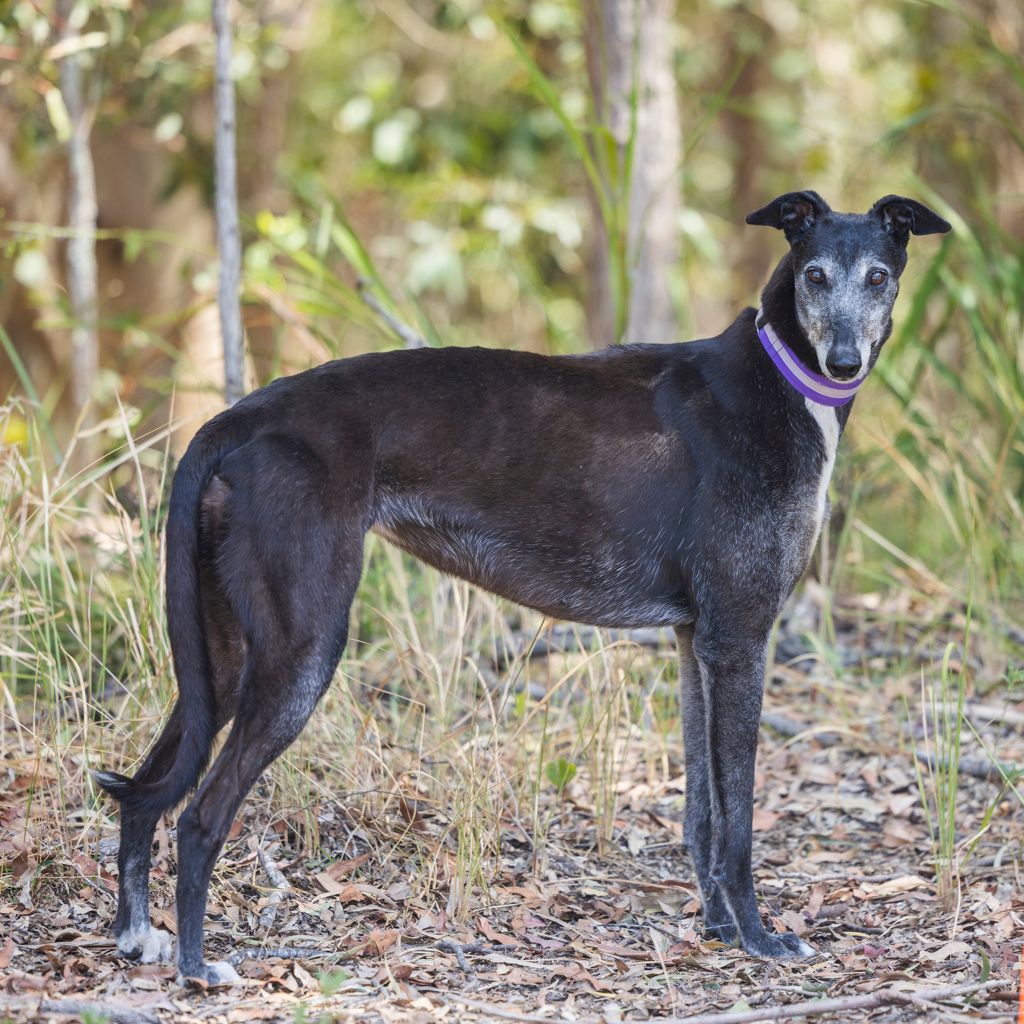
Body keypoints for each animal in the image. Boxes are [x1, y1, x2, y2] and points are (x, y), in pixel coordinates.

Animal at [96, 191, 950, 982]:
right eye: (815, 276)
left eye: (878, 277)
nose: (844, 363)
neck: (777, 377)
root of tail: (232, 422)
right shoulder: (741, 639)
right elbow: (737, 819)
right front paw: (760, 938)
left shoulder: (696, 643)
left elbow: (703, 815)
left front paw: (716, 929)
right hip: (300, 649)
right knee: (200, 815)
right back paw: (198, 966)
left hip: (222, 657)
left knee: (145, 791)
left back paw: (139, 938)